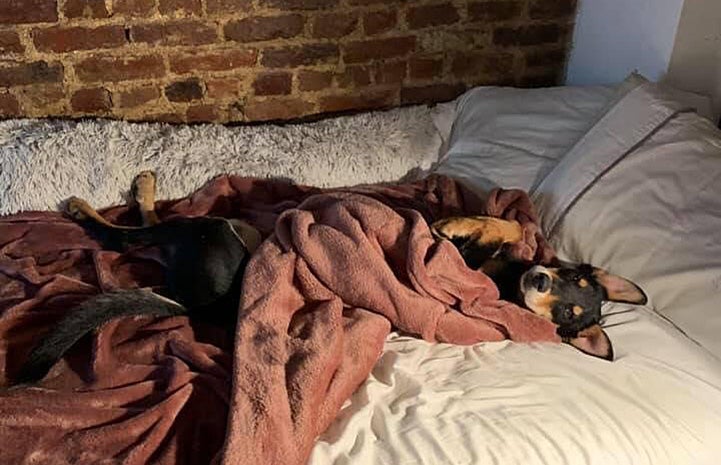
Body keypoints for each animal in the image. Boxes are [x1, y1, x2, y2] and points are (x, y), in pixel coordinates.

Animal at [428, 216, 648, 360]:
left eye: (568, 314)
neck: (514, 276)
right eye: (575, 277)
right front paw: (455, 223)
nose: (540, 280)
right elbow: (514, 227)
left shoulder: (474, 269)